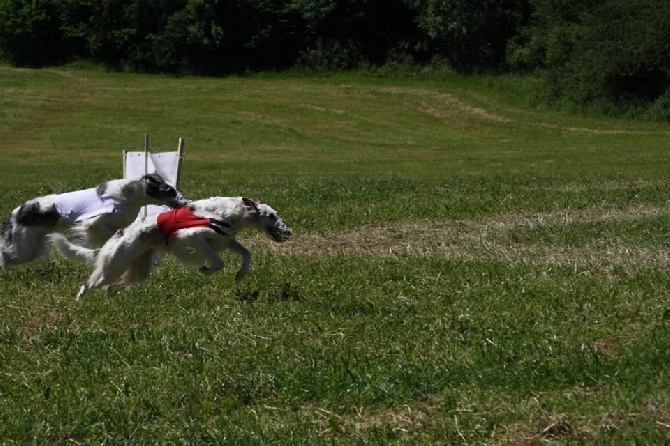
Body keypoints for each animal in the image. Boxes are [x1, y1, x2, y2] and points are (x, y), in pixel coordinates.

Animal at [0, 172, 189, 266]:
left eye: (176, 190)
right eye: (169, 191)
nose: (186, 202)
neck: (129, 195)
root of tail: (16, 212)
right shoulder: (93, 223)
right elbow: (107, 235)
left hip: (32, 248)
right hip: (22, 246)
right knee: (5, 253)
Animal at [51, 196, 292, 298]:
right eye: (271, 215)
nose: (288, 232)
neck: (229, 213)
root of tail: (116, 237)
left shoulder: (225, 239)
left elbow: (246, 253)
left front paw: (241, 273)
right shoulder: (193, 236)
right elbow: (218, 261)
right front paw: (206, 268)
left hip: (139, 270)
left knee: (110, 286)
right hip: (113, 267)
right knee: (88, 285)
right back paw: (79, 302)